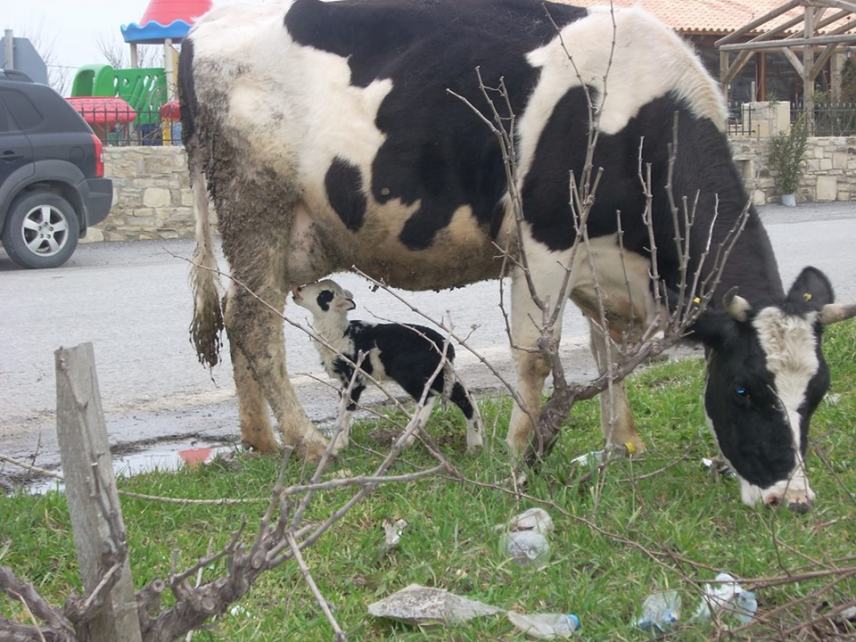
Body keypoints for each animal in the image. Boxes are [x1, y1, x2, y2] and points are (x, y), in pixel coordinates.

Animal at [292, 278, 482, 450]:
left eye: (324, 295)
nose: (297, 290)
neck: (339, 334)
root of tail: (446, 346)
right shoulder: (343, 382)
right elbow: (341, 408)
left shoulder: (354, 378)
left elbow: (346, 409)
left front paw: (338, 446)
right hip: (439, 372)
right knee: (464, 395)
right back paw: (476, 443)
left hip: (409, 372)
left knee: (427, 399)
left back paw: (405, 441)